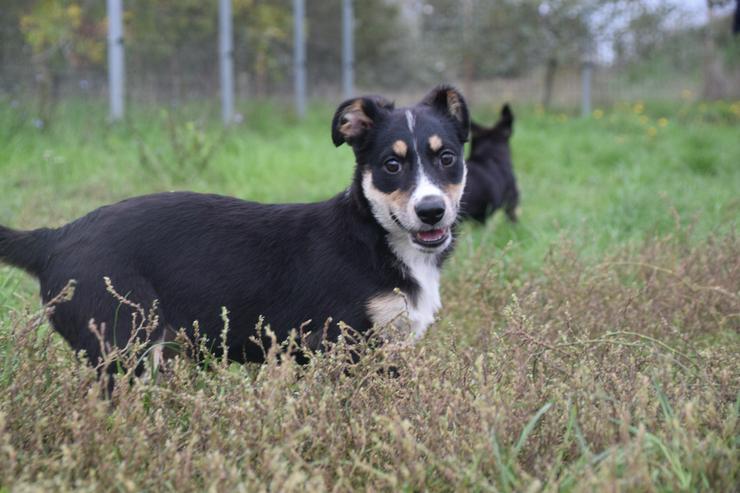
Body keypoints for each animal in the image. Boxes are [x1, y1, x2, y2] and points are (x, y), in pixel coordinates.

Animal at [0, 85, 472, 366]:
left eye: (447, 157)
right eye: (392, 165)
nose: (431, 211)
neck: (375, 235)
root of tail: (54, 236)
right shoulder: (338, 344)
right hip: (125, 346)